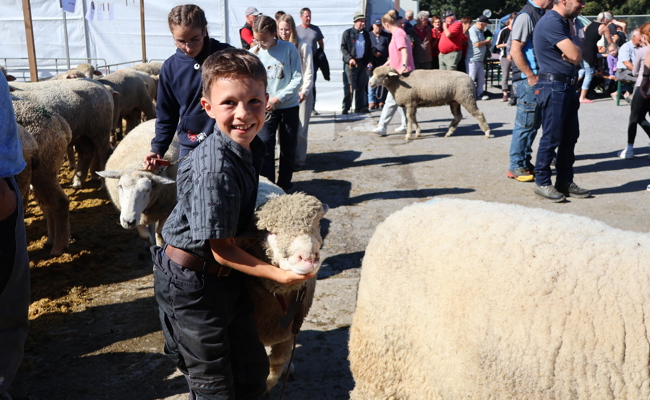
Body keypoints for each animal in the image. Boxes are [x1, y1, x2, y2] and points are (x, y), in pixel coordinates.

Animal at [12, 97, 72, 256]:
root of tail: (59, 121)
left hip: (45, 167)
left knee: (59, 202)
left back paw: (59, 247)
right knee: (48, 205)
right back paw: (51, 240)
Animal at [240, 180, 326, 393]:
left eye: (316, 225)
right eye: (270, 232)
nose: (308, 258)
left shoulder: (290, 327)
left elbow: (278, 361)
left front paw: (269, 384)